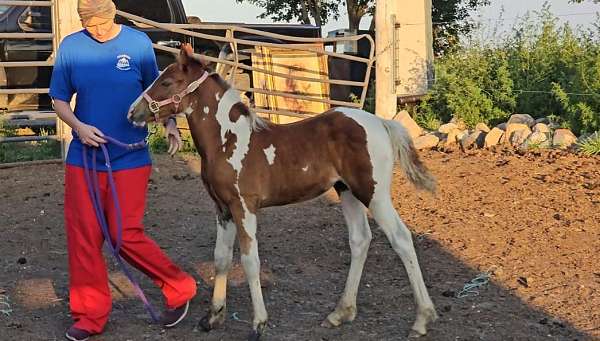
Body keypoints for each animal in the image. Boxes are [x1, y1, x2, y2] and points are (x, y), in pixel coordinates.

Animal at [129, 45, 438, 340]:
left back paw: (422, 320)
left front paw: (259, 324)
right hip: (347, 191)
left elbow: (249, 261)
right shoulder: (223, 209)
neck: (228, 140)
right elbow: (221, 258)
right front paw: (213, 317)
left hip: (374, 193)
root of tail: (382, 123)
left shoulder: (244, 207)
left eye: (167, 82)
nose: (132, 112)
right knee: (360, 240)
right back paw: (340, 313)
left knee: (401, 238)